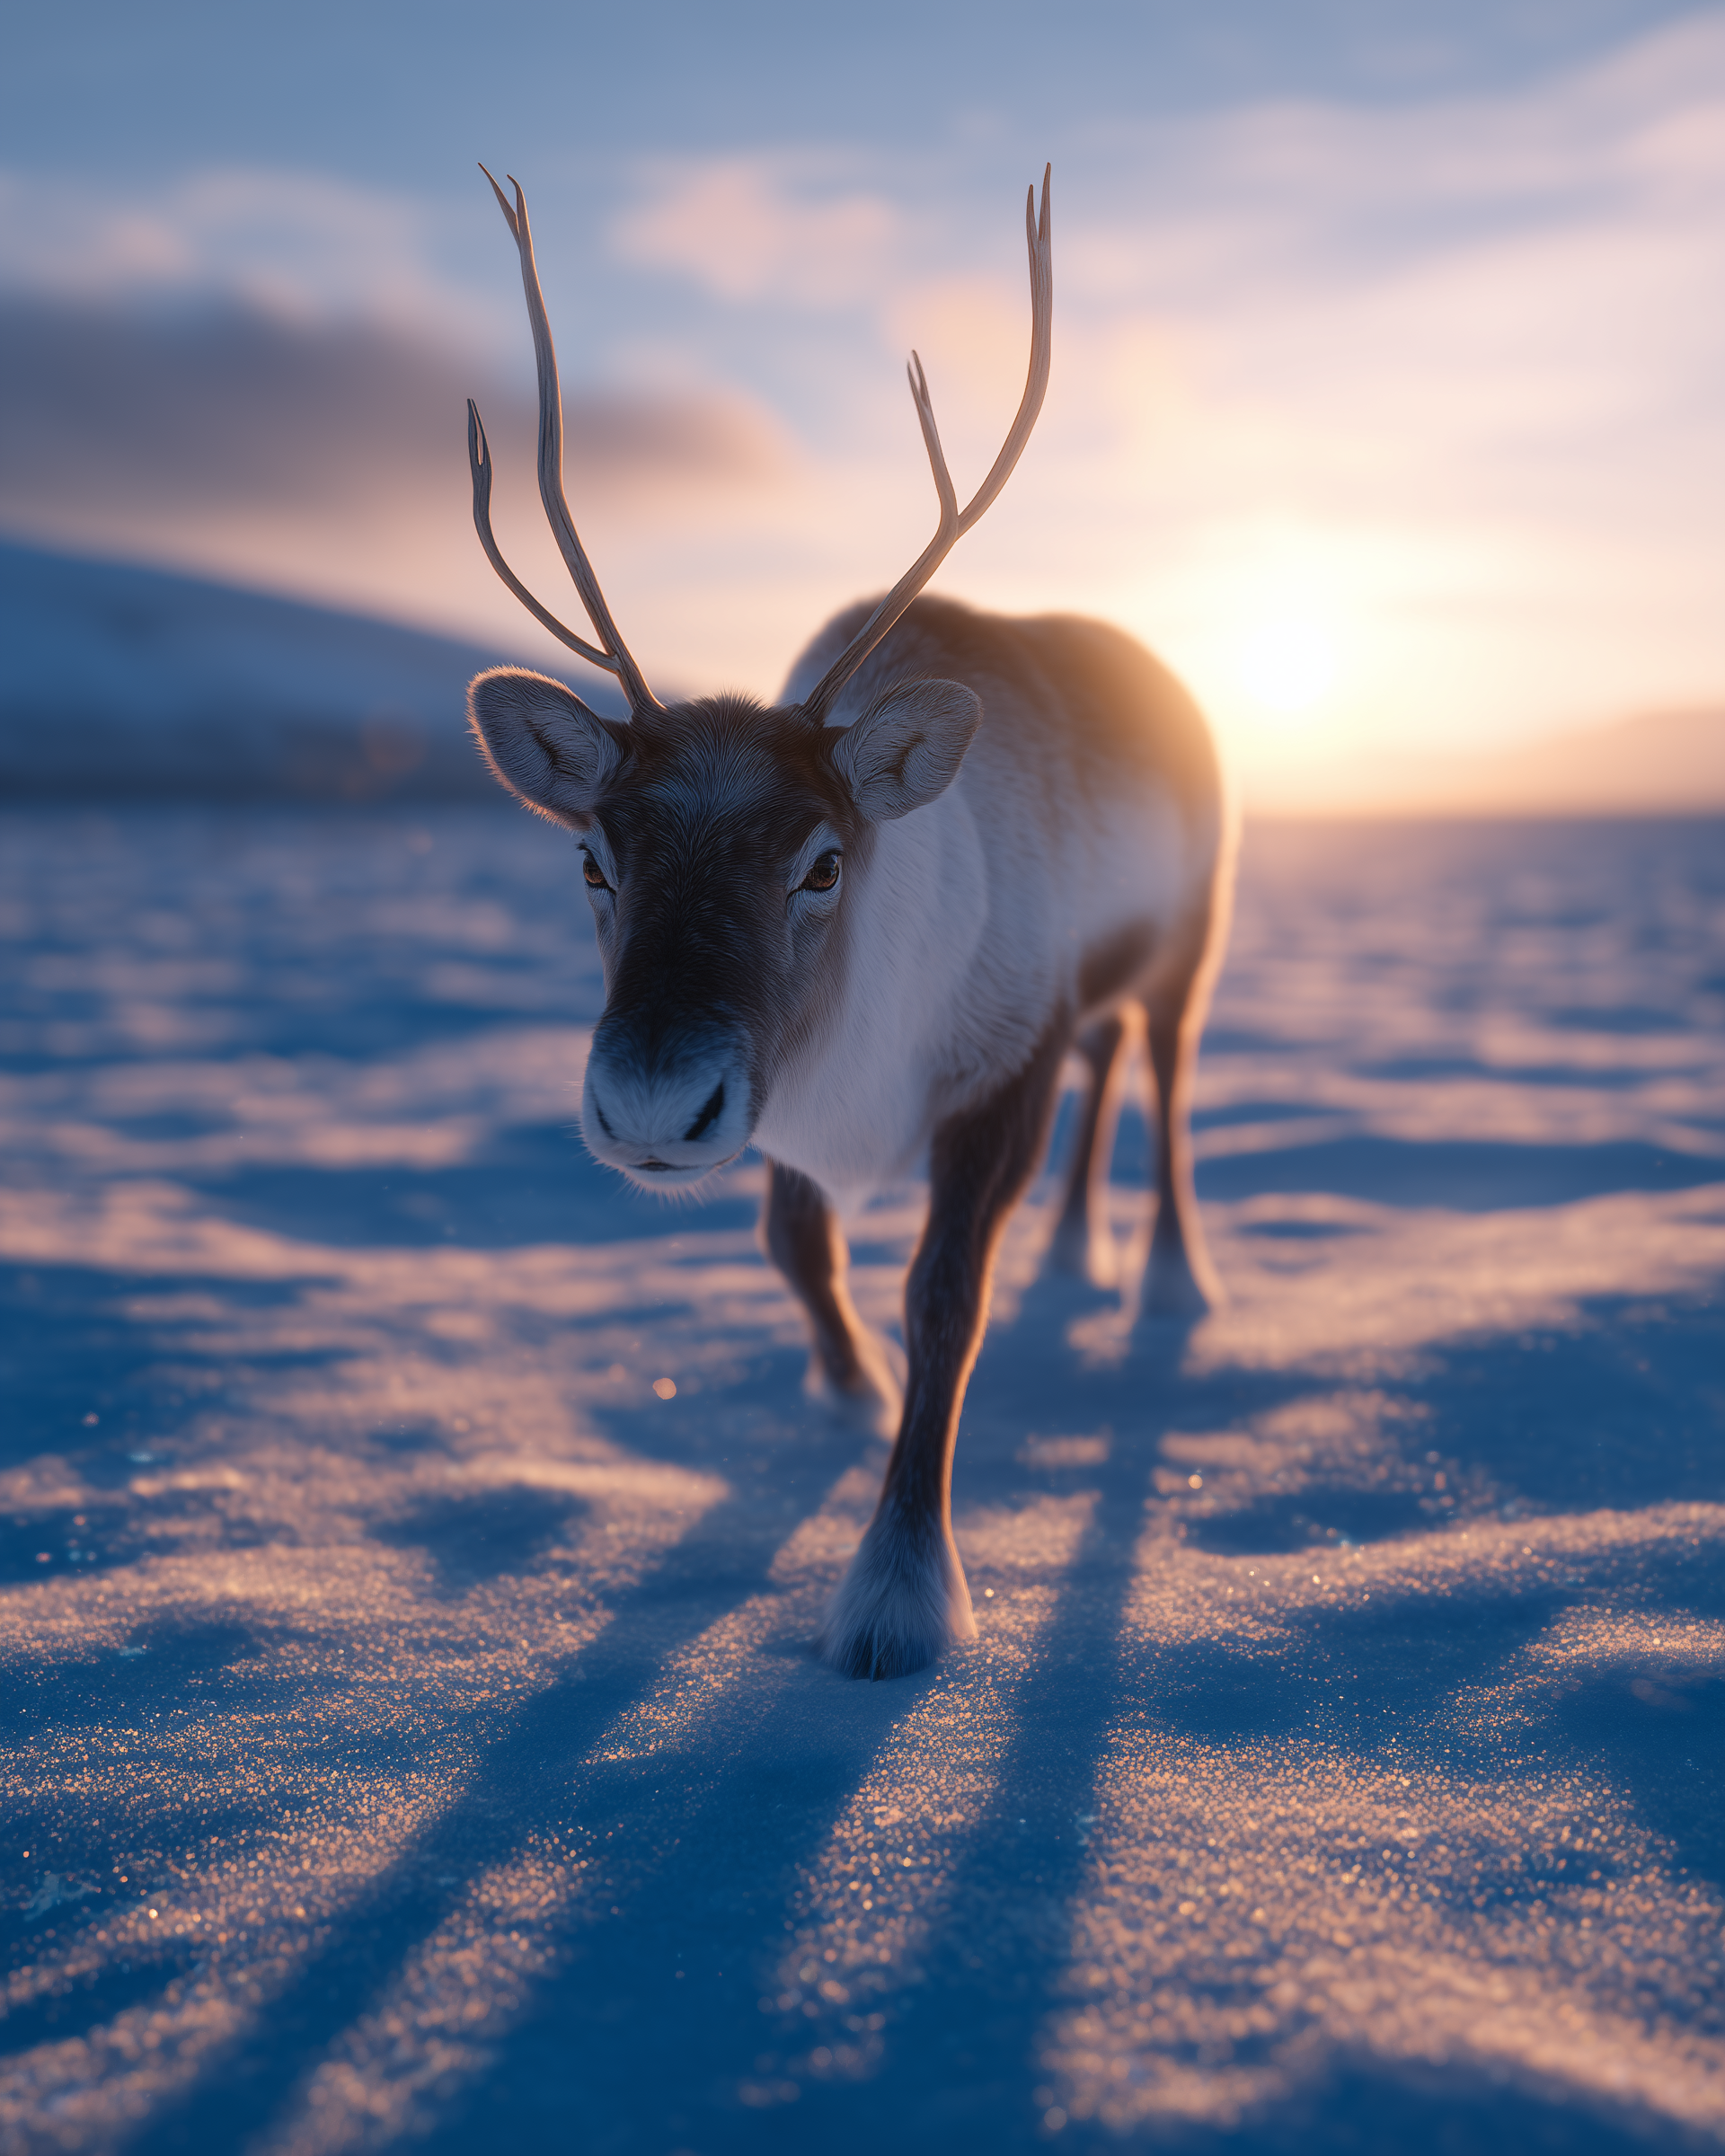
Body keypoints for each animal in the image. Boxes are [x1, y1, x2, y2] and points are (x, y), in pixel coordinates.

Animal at [462, 164, 1231, 1680]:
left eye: (822, 862)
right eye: (591, 857)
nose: (651, 1105)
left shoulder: (1003, 1064)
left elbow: (945, 1300)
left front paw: (898, 1593)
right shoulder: (782, 1097)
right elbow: (796, 1248)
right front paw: (845, 1387)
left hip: (1191, 935)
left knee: (1163, 1069)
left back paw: (1168, 1283)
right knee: (1115, 1056)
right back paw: (1078, 1256)